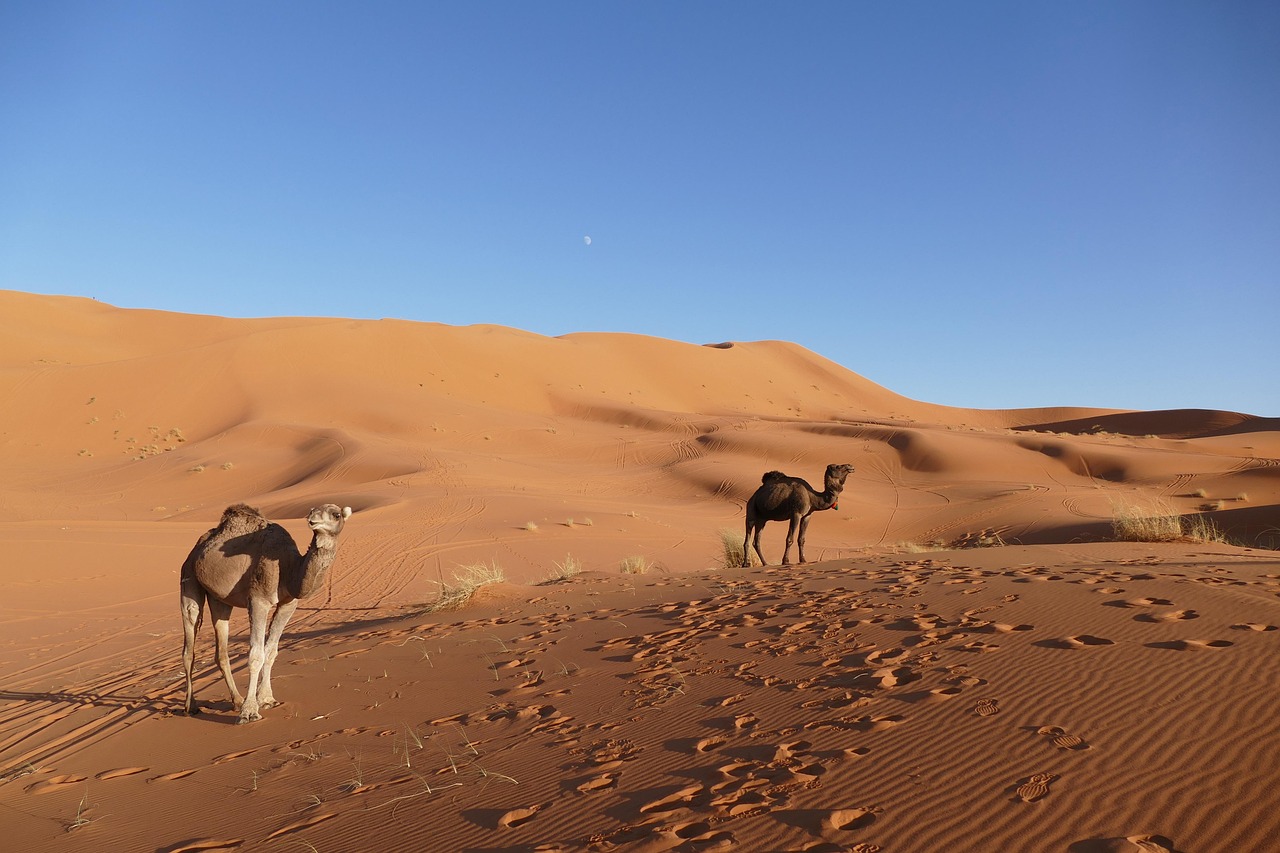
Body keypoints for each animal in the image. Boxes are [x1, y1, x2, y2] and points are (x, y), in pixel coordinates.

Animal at [180, 502, 352, 723]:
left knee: (221, 650)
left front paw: (267, 699)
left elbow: (271, 651)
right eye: (313, 511)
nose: (312, 520)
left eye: (336, 514)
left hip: (219, 599)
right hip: (188, 578)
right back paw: (192, 706)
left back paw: (237, 700)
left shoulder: (288, 603)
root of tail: (196, 549)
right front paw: (250, 712)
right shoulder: (258, 601)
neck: (288, 568)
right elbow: (256, 655)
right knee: (189, 643)